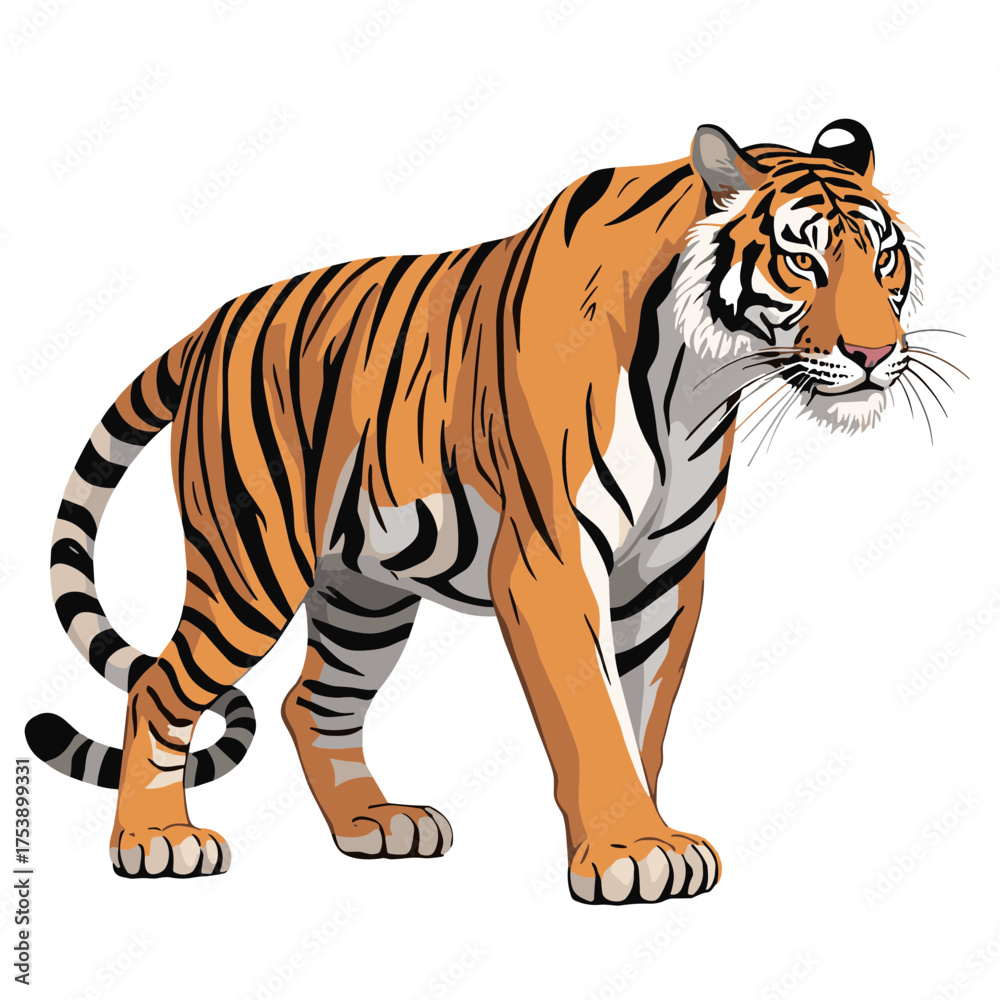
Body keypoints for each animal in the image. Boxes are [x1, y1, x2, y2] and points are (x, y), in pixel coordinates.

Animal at [26, 118, 935, 904]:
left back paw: (373, 823)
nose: (876, 353)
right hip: (251, 564)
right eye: (803, 260)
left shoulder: (664, 572)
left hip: (363, 593)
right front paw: (629, 854)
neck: (701, 378)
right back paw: (156, 843)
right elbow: (591, 710)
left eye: (885, 259)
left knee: (313, 701)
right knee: (161, 685)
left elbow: (645, 713)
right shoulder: (549, 557)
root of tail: (211, 324)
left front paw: (654, 833)